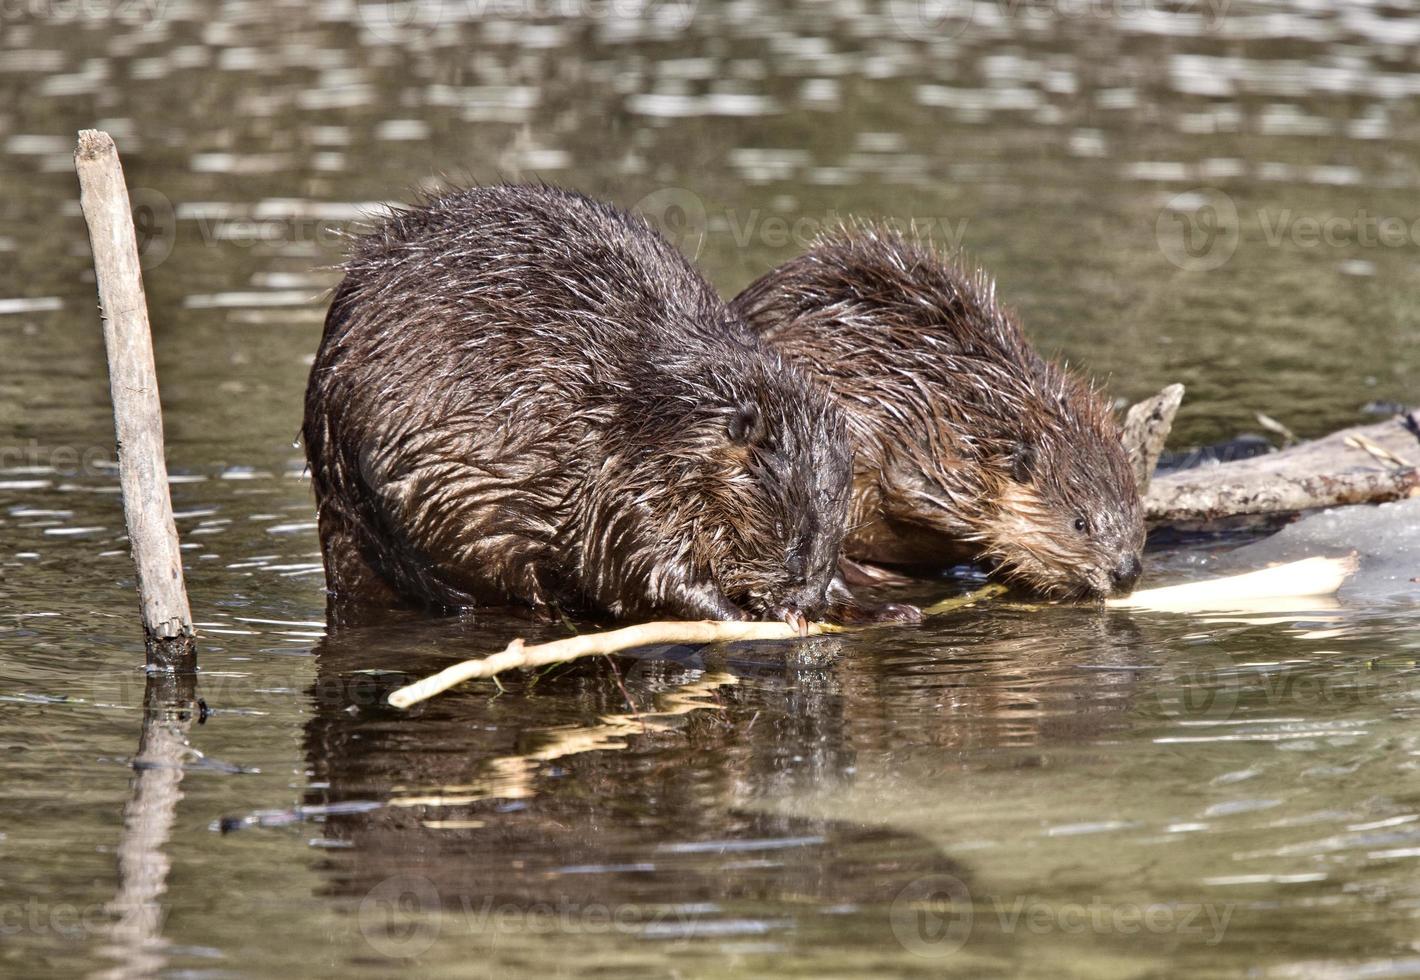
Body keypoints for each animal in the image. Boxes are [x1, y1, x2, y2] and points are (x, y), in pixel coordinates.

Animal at [305, 183, 914, 624]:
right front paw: (746, 616)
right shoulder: (628, 474)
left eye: (830, 536)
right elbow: (639, 562)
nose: (805, 602)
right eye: (794, 539)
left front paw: (879, 606)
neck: (668, 402)